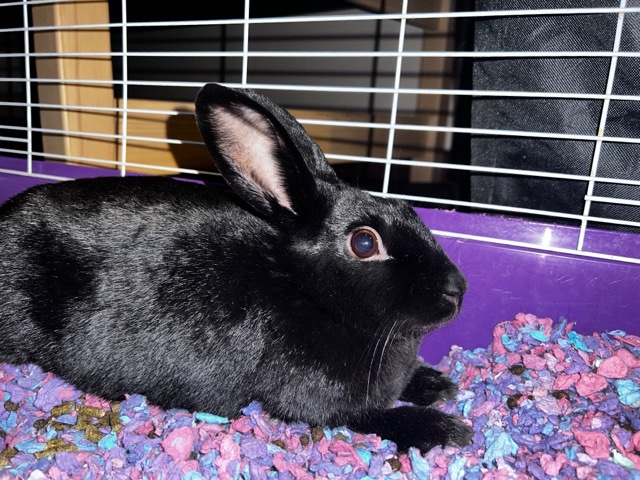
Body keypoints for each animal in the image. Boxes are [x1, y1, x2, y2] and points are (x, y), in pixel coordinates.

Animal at [0, 83, 472, 452]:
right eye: (363, 242)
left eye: (409, 208)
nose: (457, 290)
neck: (304, 290)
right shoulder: (316, 399)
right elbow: (367, 416)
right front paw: (446, 429)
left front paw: (437, 385)